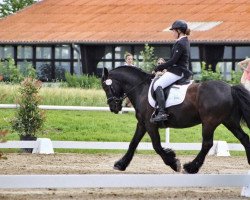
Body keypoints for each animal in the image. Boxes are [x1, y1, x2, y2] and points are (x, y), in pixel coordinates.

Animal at [100, 65, 250, 173]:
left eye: (107, 87)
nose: (113, 108)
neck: (141, 89)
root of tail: (230, 88)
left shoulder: (150, 125)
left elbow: (156, 146)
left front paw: (173, 162)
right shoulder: (142, 124)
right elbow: (133, 143)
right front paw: (120, 164)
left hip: (209, 122)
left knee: (207, 144)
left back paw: (191, 167)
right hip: (229, 121)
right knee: (244, 138)